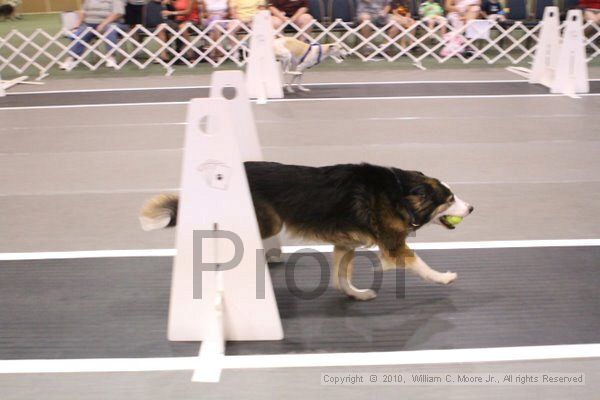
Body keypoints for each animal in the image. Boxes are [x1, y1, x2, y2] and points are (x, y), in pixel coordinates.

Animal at [141, 162, 474, 300]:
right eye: (449, 199)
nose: (471, 208)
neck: (400, 193)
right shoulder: (393, 246)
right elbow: (421, 265)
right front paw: (445, 278)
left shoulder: (346, 245)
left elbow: (342, 277)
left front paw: (355, 294)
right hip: (268, 221)